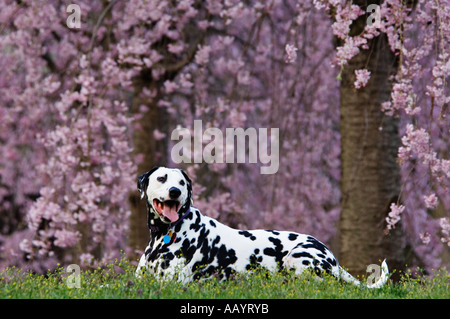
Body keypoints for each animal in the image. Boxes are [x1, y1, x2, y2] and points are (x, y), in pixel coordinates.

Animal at [135, 166, 388, 288]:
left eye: (181, 182)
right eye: (162, 178)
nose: (175, 191)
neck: (166, 234)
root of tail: (333, 259)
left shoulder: (171, 283)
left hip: (297, 259)